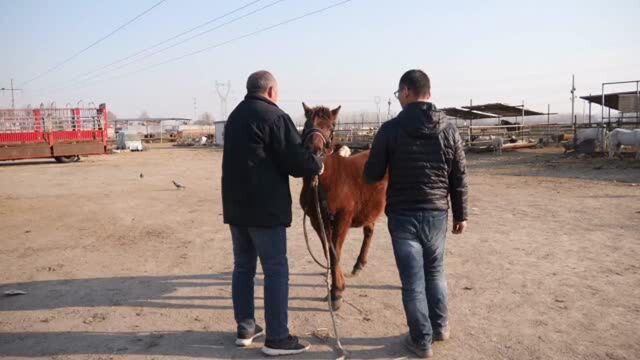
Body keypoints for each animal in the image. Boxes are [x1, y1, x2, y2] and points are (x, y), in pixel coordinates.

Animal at [298, 102, 384, 310]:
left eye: (331, 127)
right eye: (307, 124)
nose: (314, 150)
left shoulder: (342, 219)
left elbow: (335, 250)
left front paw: (337, 291)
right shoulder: (317, 220)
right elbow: (327, 249)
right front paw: (332, 280)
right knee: (369, 231)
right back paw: (359, 264)